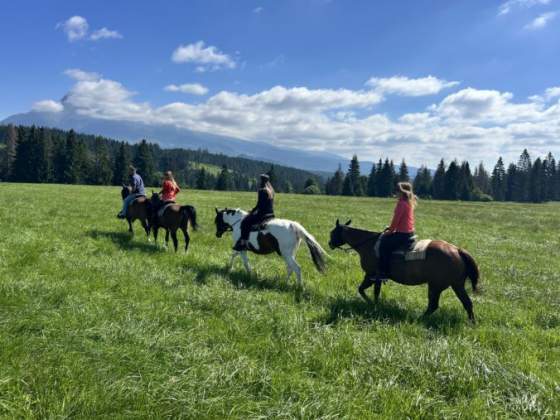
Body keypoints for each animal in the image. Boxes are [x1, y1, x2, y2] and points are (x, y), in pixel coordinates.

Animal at [328, 218, 482, 324]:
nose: (330, 244)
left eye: (333, 233)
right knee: (467, 303)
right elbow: (369, 291)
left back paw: (419, 318)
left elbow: (364, 290)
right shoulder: (373, 277)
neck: (369, 244)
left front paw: (373, 304)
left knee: (433, 305)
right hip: (456, 285)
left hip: (436, 286)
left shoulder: (372, 275)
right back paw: (472, 323)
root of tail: (457, 250)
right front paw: (375, 304)